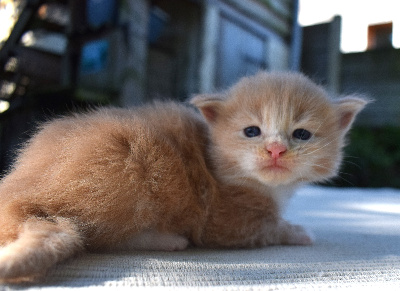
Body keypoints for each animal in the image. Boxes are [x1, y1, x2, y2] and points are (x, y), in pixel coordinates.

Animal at [0, 72, 368, 284]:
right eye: (252, 131)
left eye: (301, 134)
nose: (276, 149)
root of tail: (21, 191)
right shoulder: (225, 223)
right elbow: (270, 228)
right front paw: (299, 231)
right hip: (129, 172)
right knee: (101, 236)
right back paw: (166, 239)